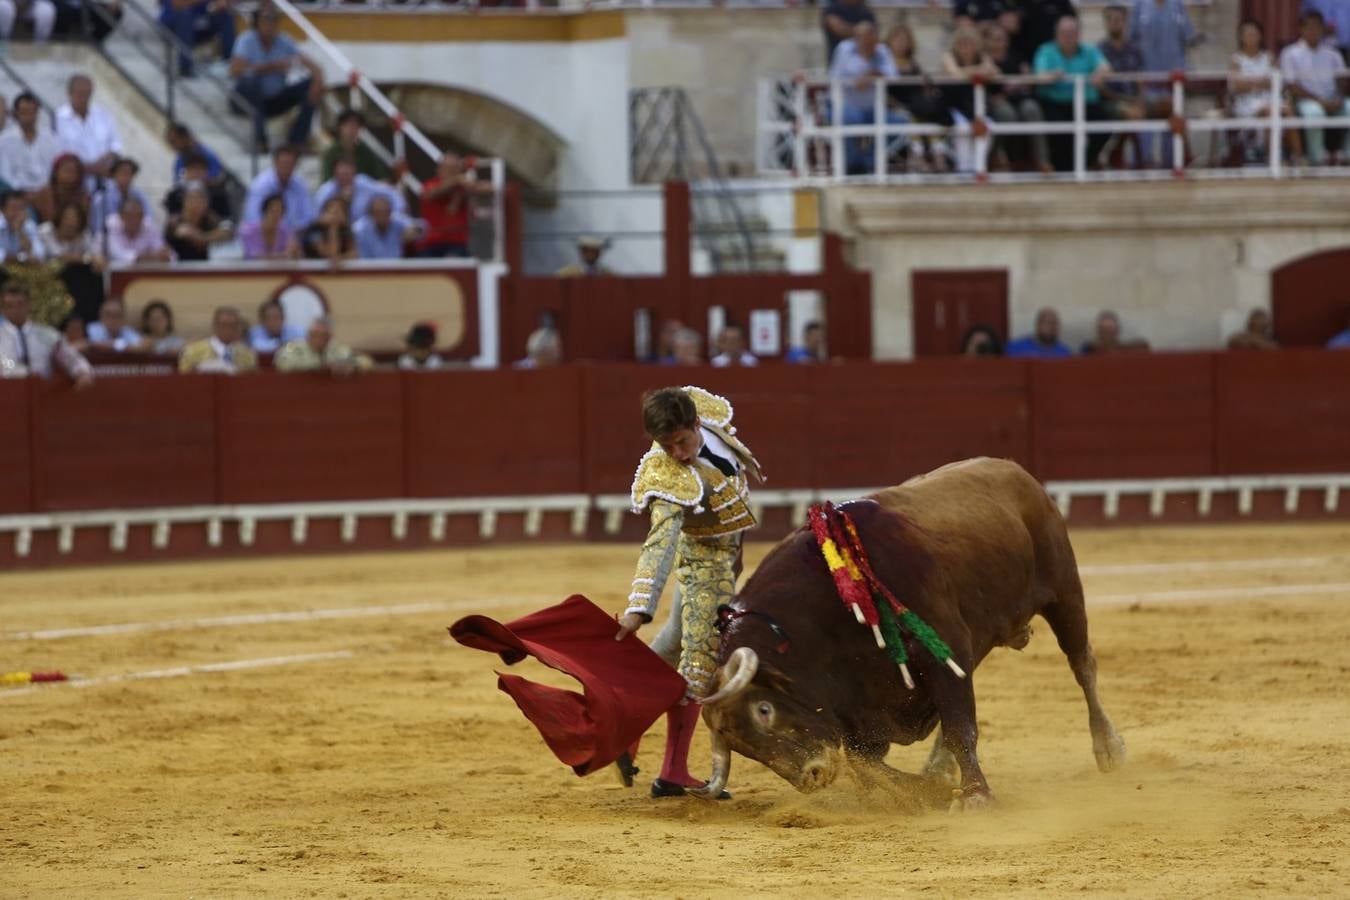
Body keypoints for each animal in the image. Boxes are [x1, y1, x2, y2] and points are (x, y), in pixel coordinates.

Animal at [691, 458, 1123, 809]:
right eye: (743, 748)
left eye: (764, 710)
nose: (813, 775)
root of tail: (1015, 470)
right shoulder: (859, 706)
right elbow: (863, 760)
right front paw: (923, 792)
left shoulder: (942, 649)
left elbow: (960, 728)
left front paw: (975, 797)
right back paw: (937, 769)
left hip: (1064, 589)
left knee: (1082, 664)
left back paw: (1109, 749)